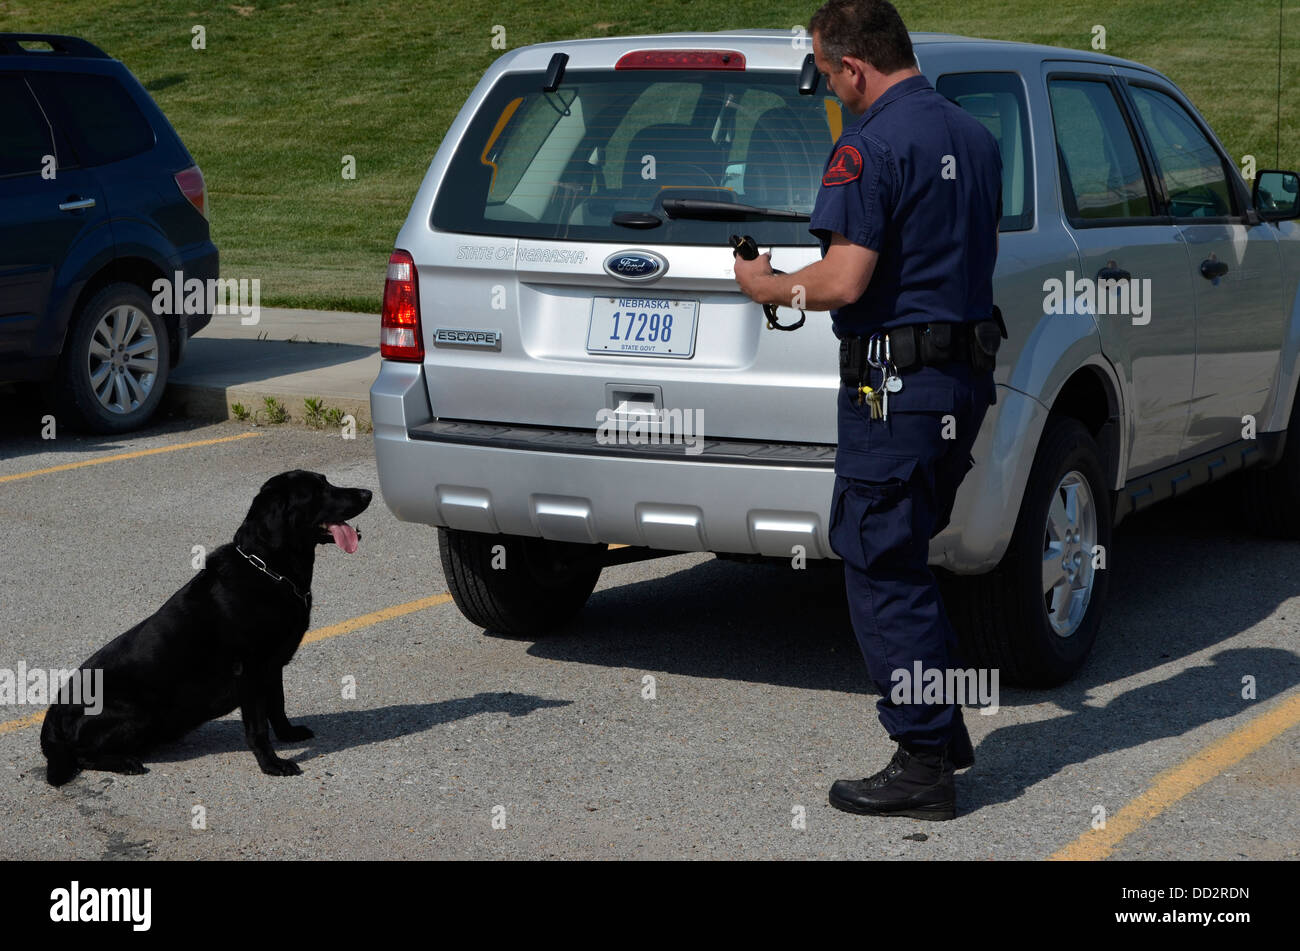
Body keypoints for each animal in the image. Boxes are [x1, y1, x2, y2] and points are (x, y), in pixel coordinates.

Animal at [44, 470, 371, 789]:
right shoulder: (251, 672)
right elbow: (258, 728)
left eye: (326, 481)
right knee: (80, 756)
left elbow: (278, 707)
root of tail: (53, 715)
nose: (368, 493)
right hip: (136, 714)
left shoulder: (272, 667)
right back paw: (124, 762)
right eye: (317, 491)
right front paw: (271, 764)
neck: (269, 570)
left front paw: (289, 735)